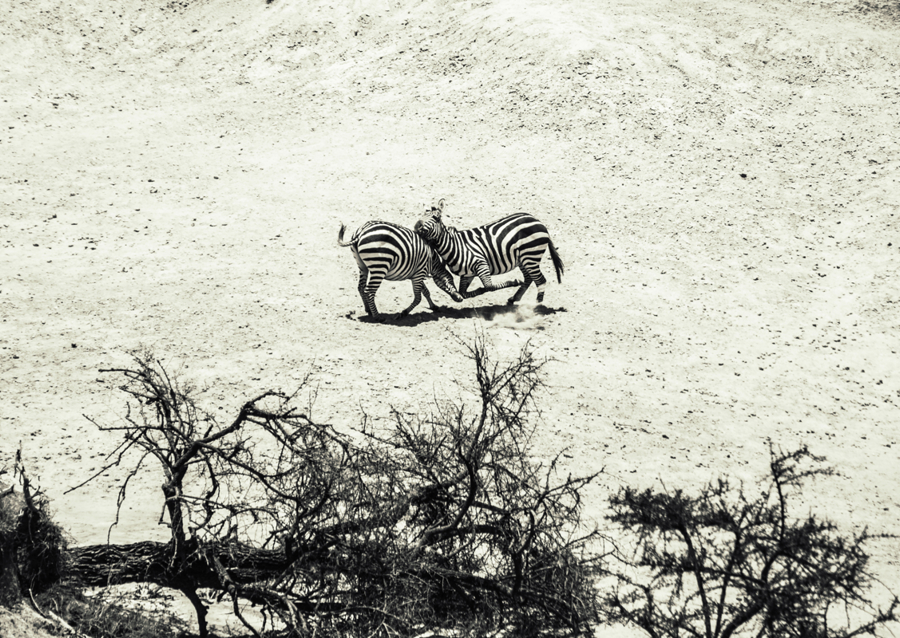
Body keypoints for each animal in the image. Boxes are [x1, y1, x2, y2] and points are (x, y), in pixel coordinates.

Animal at [414, 200, 564, 305]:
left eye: (436, 218)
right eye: (421, 215)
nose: (416, 227)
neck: (454, 246)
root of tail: (538, 221)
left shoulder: (481, 264)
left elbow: (489, 286)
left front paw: (513, 282)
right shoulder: (467, 274)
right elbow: (463, 293)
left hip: (530, 256)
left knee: (540, 280)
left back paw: (535, 307)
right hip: (523, 259)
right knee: (529, 278)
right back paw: (514, 298)